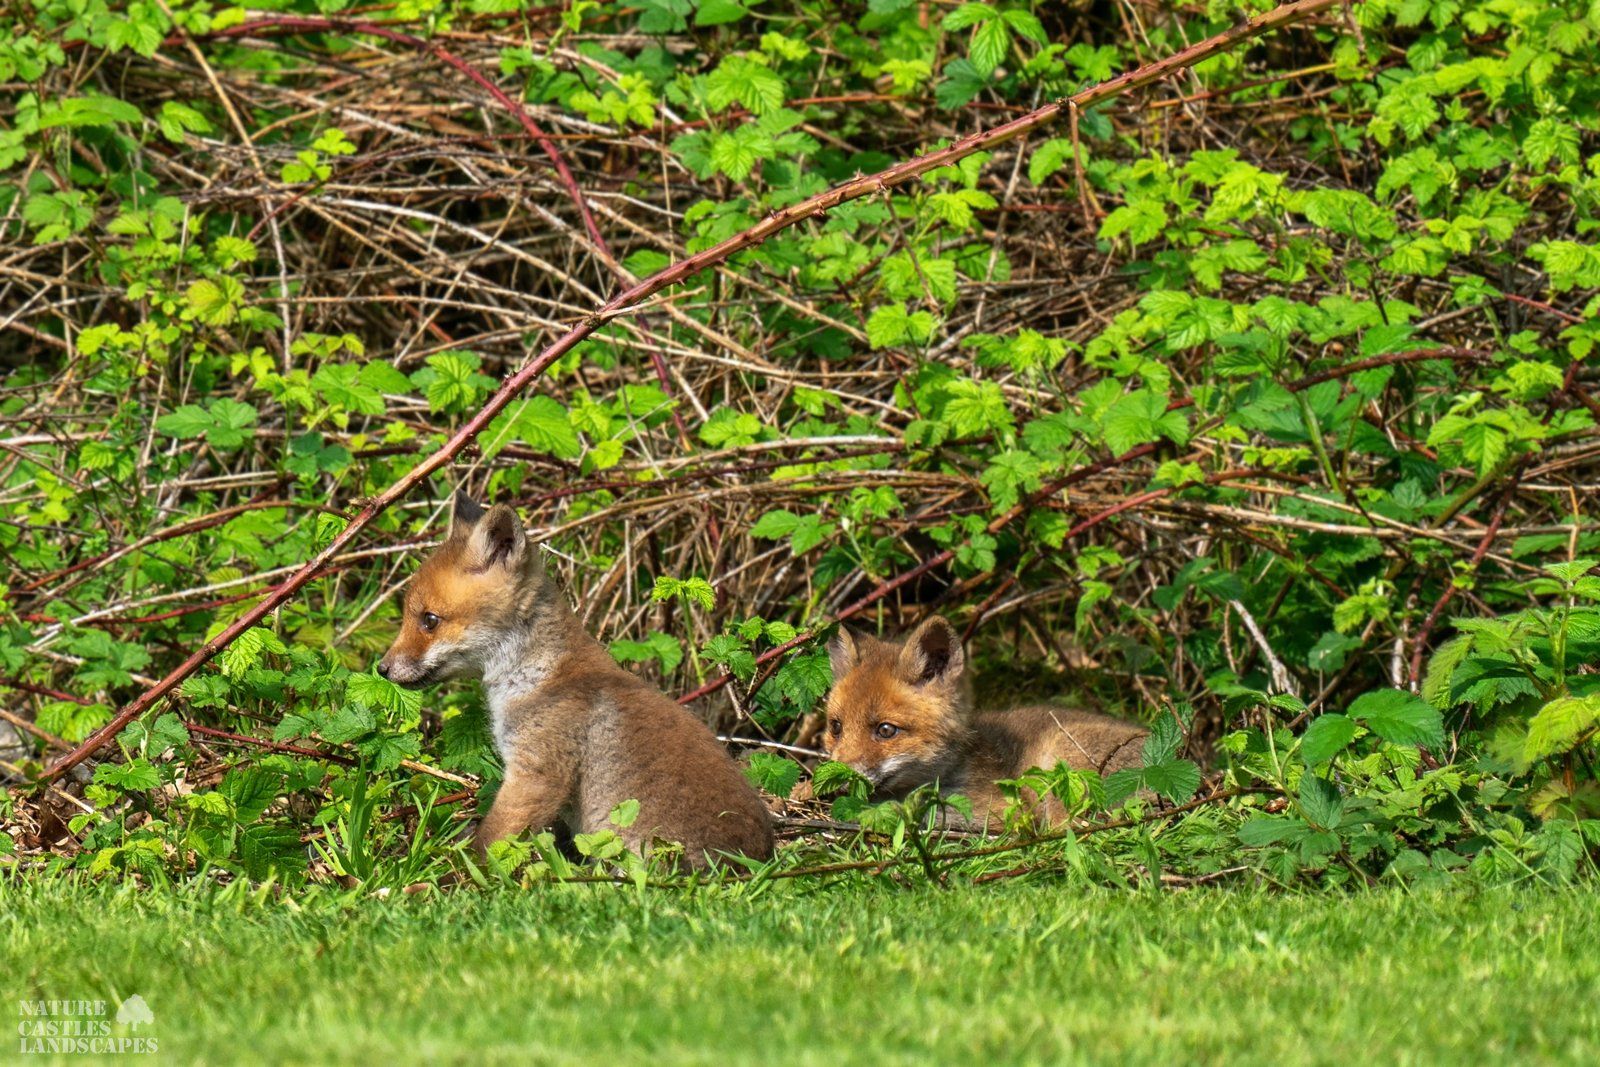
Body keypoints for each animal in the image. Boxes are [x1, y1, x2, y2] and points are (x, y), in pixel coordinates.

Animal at [376, 492, 773, 868]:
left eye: (429, 620)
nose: (382, 669)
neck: (537, 678)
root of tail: (757, 860)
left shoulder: (537, 774)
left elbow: (489, 845)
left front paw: (457, 875)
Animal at [822, 615, 1148, 826]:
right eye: (836, 727)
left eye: (886, 730)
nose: (836, 780)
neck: (956, 767)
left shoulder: (1002, 809)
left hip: (1059, 764)